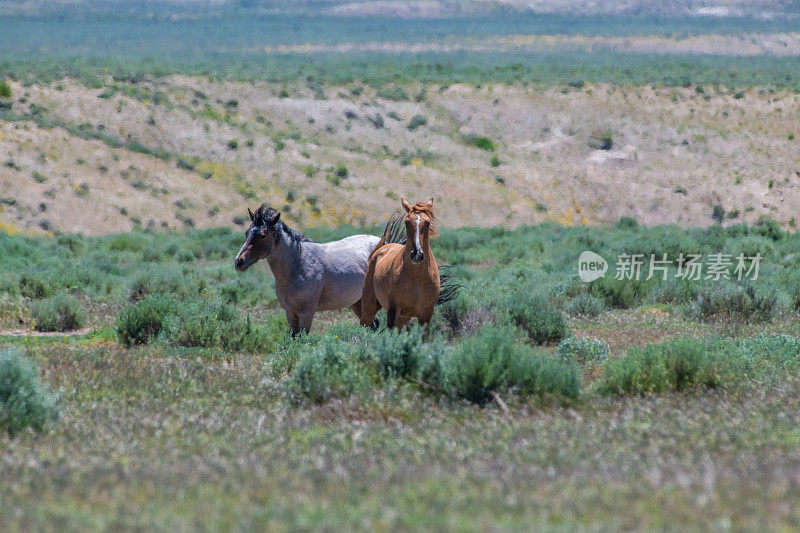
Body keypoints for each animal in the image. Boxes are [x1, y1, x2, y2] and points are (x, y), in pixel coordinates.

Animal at [234, 203, 382, 332]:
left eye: (263, 235)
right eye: (247, 233)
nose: (239, 262)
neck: (297, 266)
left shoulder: (306, 314)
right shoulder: (290, 313)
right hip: (358, 302)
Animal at [360, 197, 440, 330]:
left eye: (427, 223)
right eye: (407, 222)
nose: (417, 254)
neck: (417, 279)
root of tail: (383, 247)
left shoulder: (426, 315)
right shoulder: (393, 310)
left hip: (403, 318)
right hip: (369, 306)